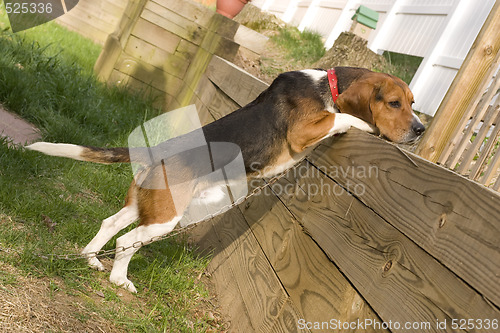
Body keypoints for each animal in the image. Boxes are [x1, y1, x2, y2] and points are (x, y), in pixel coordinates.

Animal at [26, 67, 426, 290]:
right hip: (165, 218)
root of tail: (158, 151)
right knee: (127, 242)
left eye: (413, 103)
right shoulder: (303, 133)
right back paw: (119, 280)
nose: (420, 130)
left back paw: (91, 259)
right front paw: (362, 124)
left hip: (146, 205)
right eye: (393, 103)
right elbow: (342, 118)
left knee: (111, 223)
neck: (326, 84)